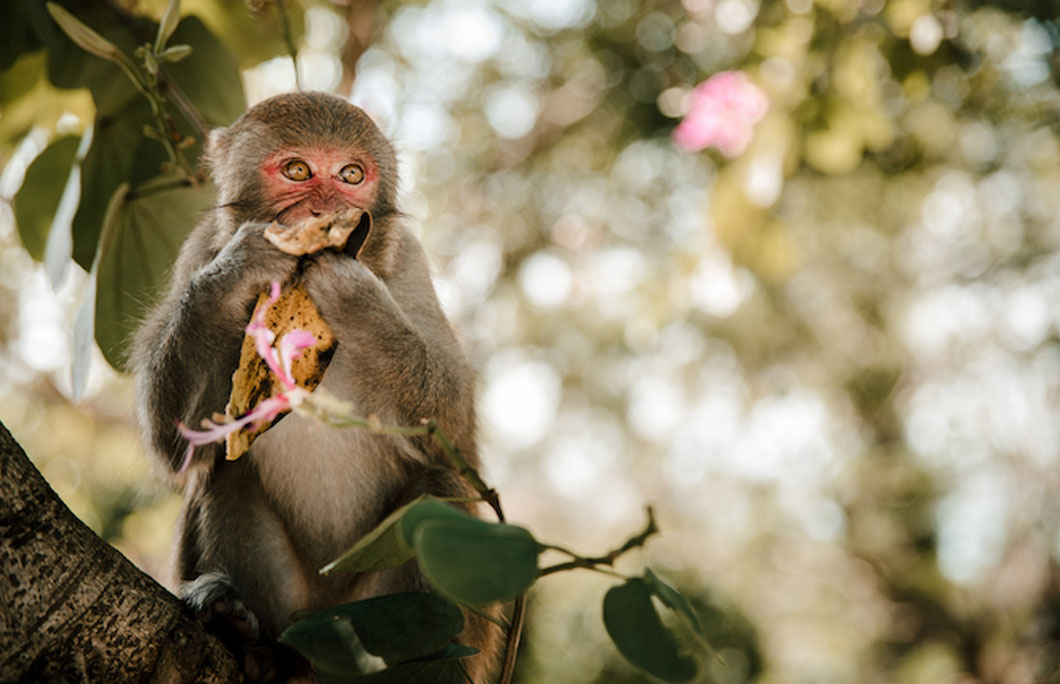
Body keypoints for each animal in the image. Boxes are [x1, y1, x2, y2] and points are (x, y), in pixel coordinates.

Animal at [130, 92, 502, 682]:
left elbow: (452, 424)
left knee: (441, 489)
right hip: (295, 609)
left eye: (350, 175)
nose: (324, 211)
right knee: (225, 473)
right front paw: (242, 266)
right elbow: (177, 442)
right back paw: (247, 638)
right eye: (298, 171)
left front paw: (355, 298)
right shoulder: (199, 250)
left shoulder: (408, 260)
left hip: (378, 610)